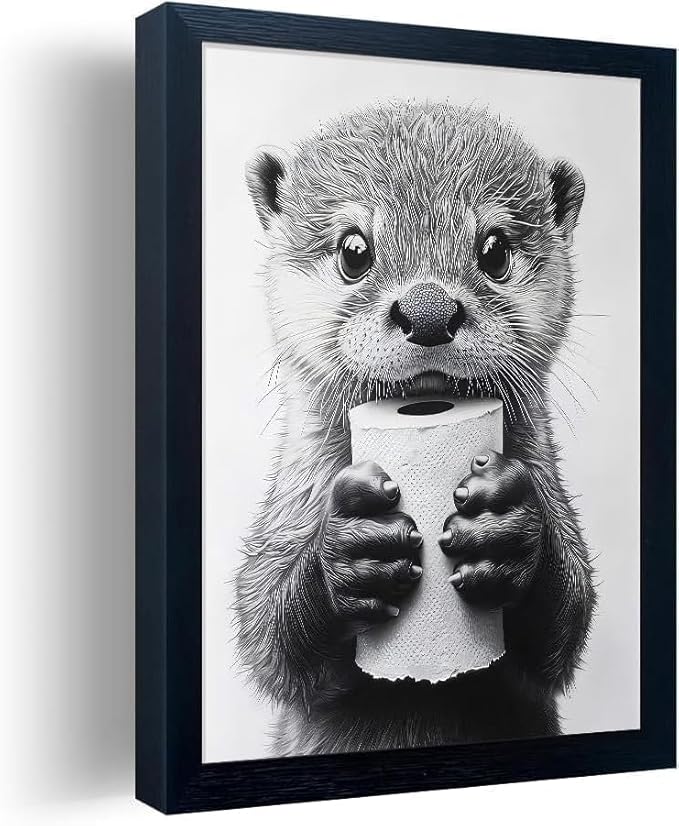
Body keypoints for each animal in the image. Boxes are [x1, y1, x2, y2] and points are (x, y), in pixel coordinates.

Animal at [235, 102, 596, 755]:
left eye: (495, 251)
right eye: (354, 251)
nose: (429, 310)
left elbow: (567, 622)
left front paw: (507, 530)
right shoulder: (282, 519)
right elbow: (266, 635)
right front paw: (350, 552)